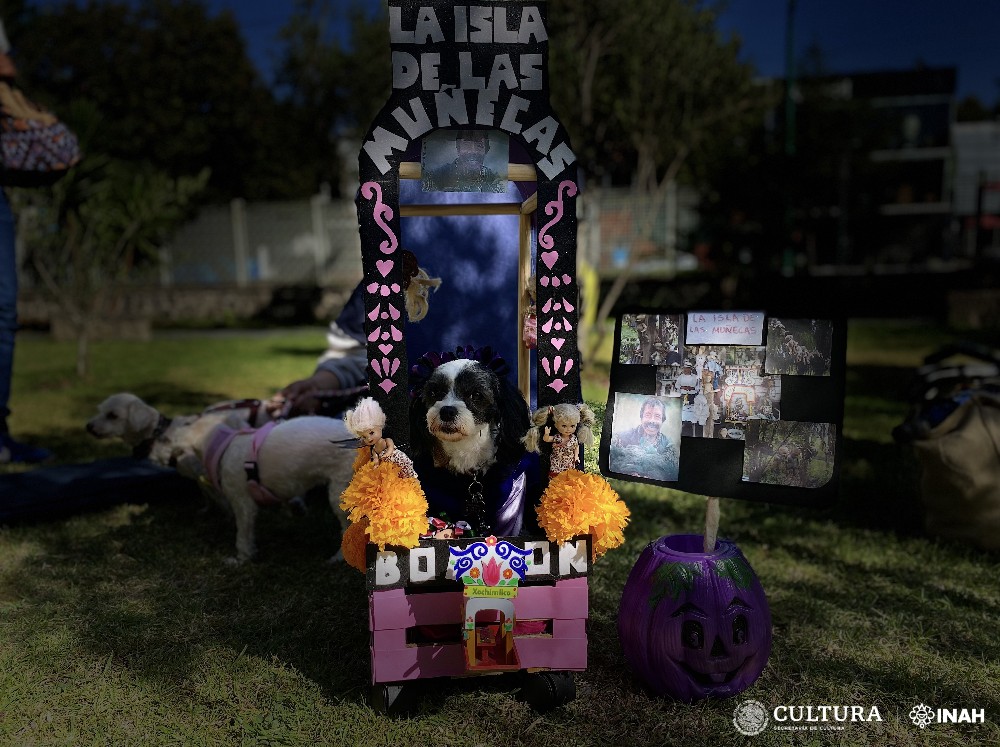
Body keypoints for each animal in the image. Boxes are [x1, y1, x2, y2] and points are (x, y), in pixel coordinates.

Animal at [87, 394, 356, 564]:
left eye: (112, 415)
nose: (88, 427)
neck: (222, 443)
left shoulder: (242, 501)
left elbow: (242, 532)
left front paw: (241, 558)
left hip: (340, 490)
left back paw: (338, 557)